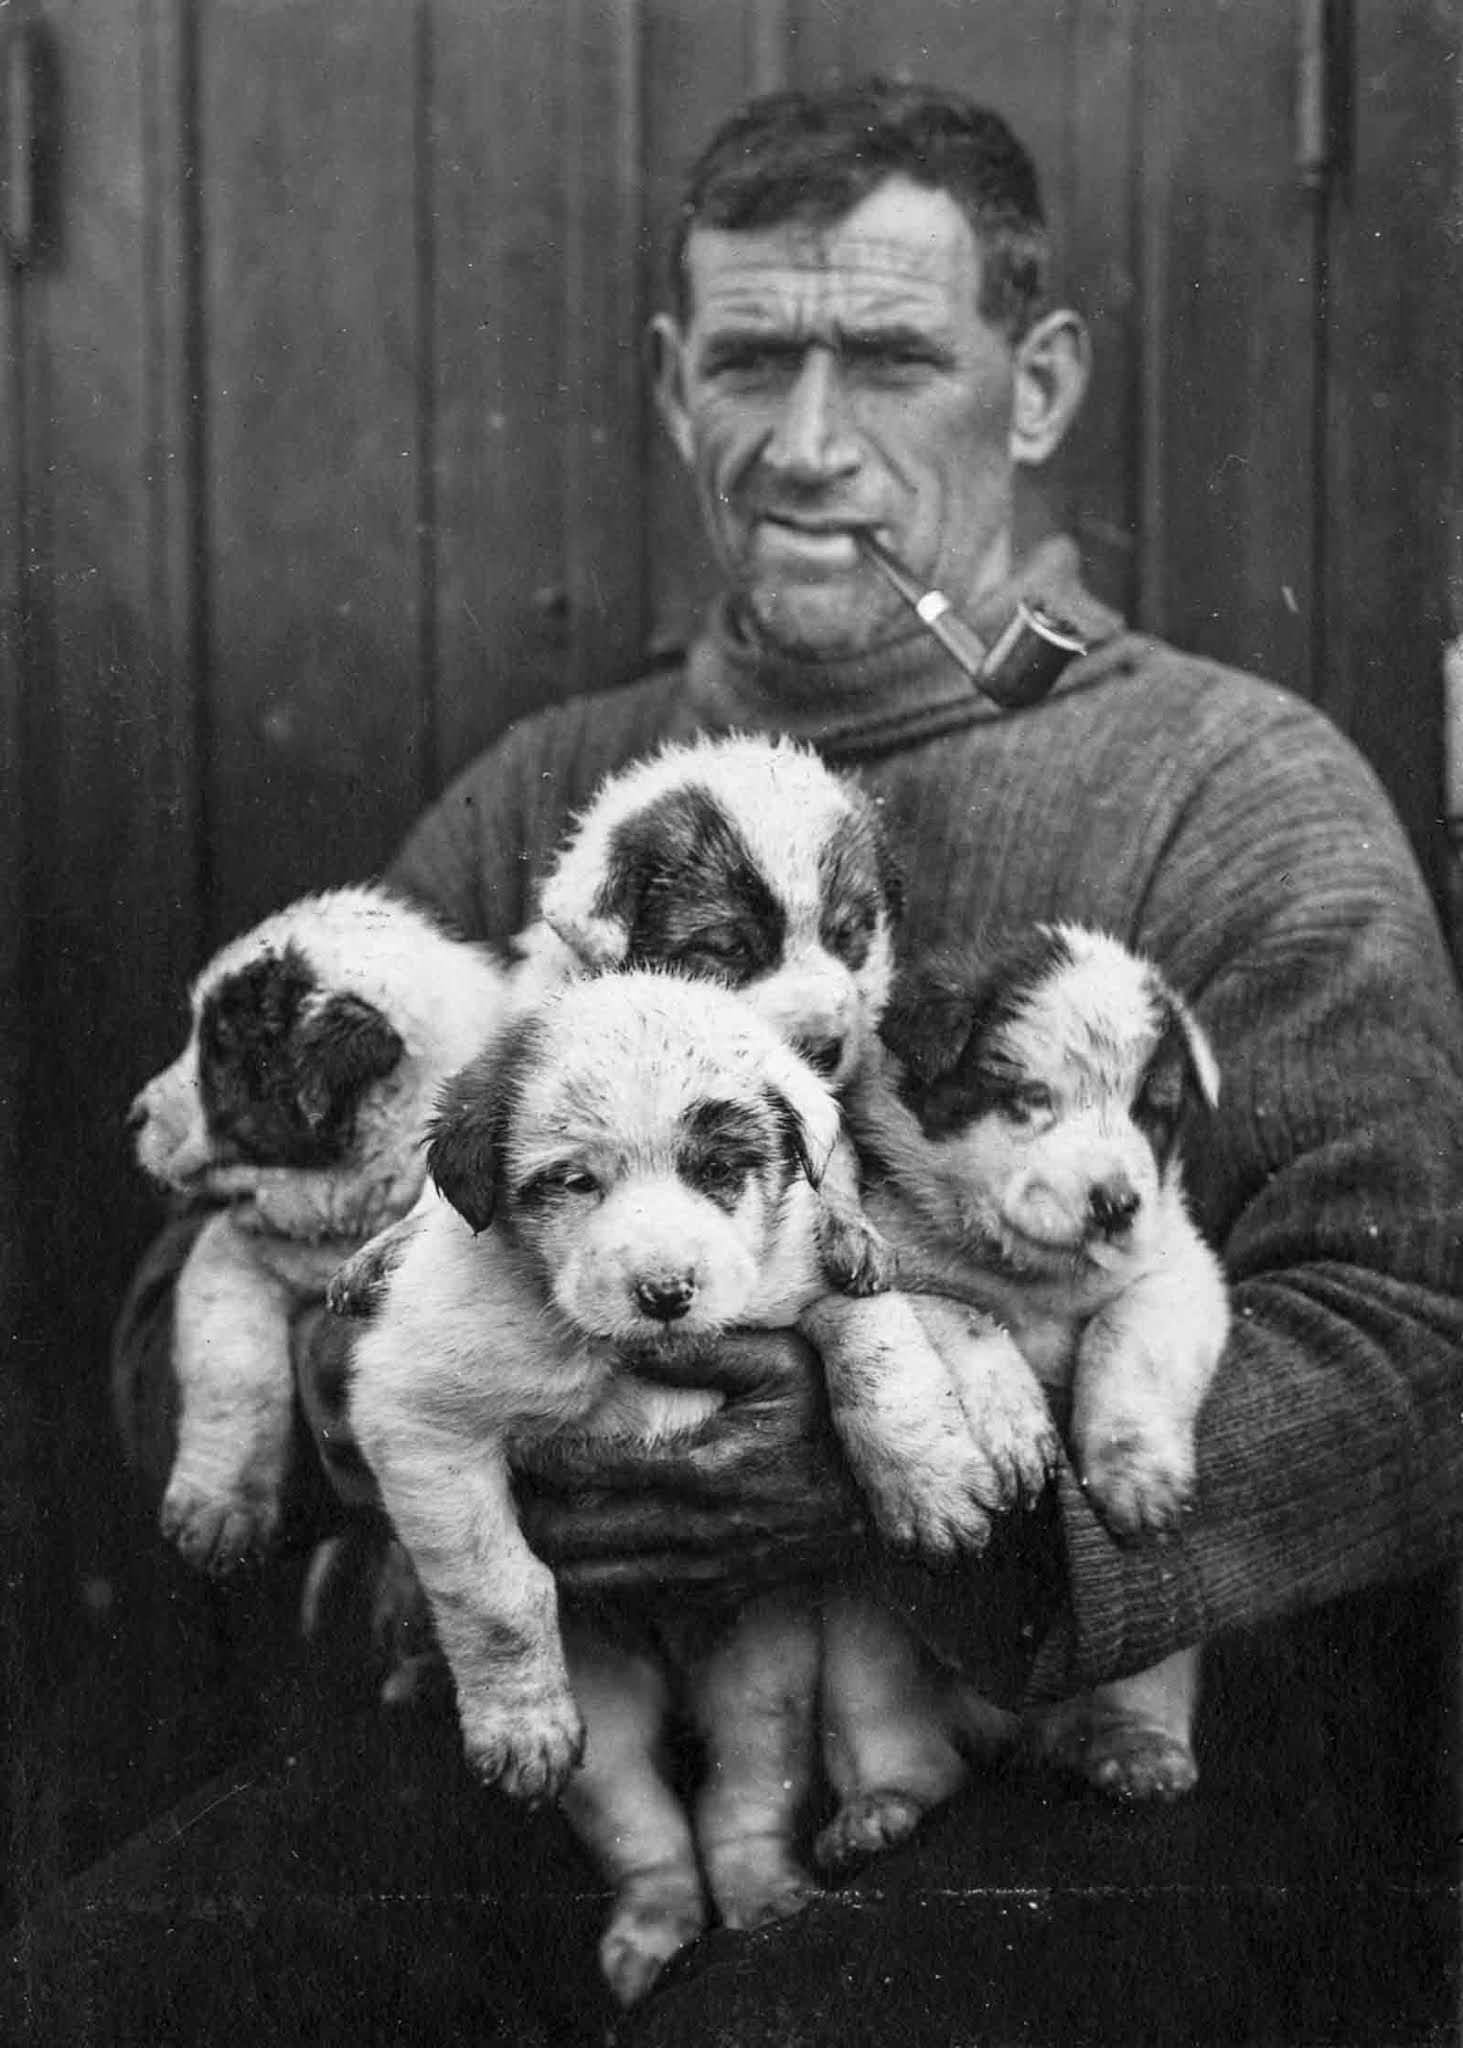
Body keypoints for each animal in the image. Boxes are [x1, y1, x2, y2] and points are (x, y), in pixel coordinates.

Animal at [836, 929, 1221, 1810]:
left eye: (1151, 1111)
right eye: (1027, 1100)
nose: (1115, 1203)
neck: (1032, 1277)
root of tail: (1015, 1730)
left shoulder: (1178, 1269)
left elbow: (1127, 1337)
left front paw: (1136, 1479)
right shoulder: (899, 1265)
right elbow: (966, 1322)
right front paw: (1013, 1433)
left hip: (1152, 1651)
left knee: (1137, 1683)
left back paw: (1137, 1752)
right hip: (860, 1641)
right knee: (887, 1723)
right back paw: (882, 1806)